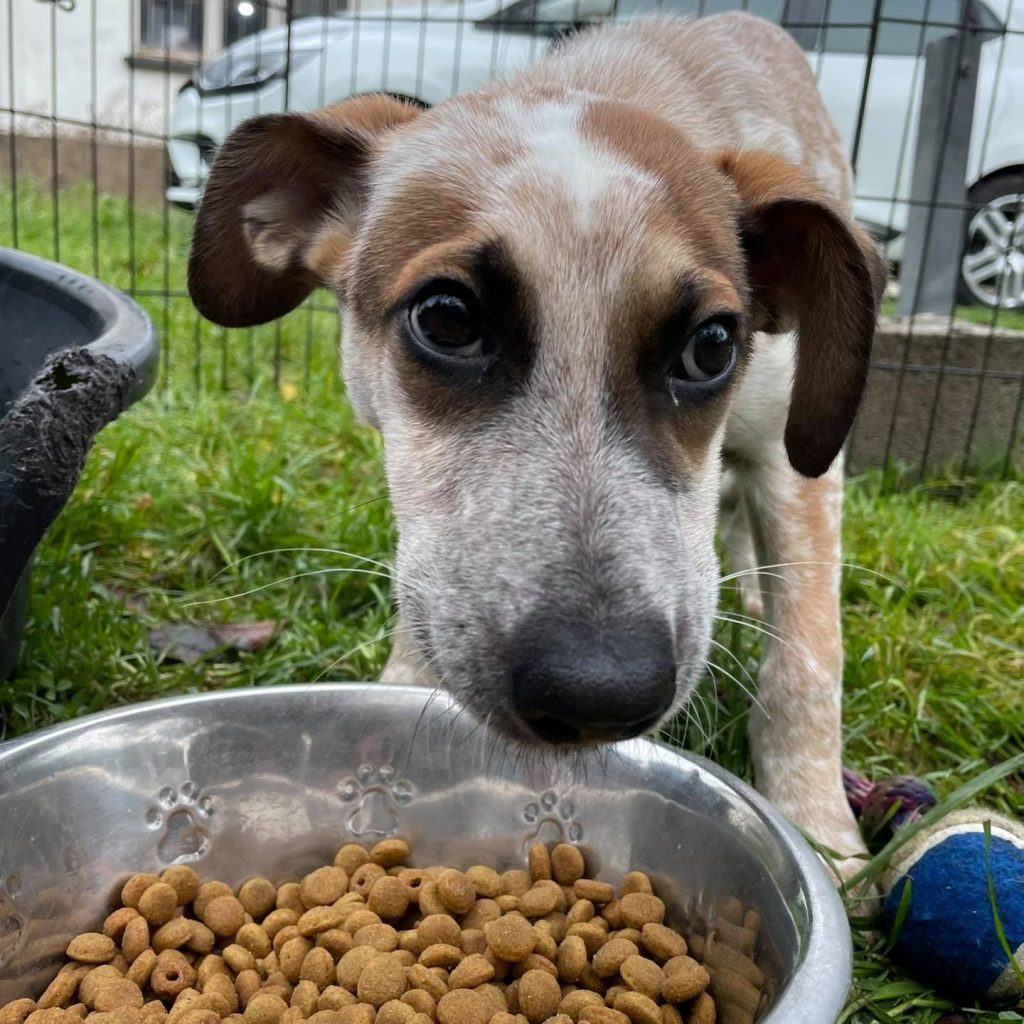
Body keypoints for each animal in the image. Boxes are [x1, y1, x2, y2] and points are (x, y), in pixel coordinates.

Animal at [186, 12, 888, 868]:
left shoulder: (798, 464)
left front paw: (823, 834)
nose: (599, 693)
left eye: (713, 346)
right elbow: (425, 595)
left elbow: (807, 659)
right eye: (447, 318)